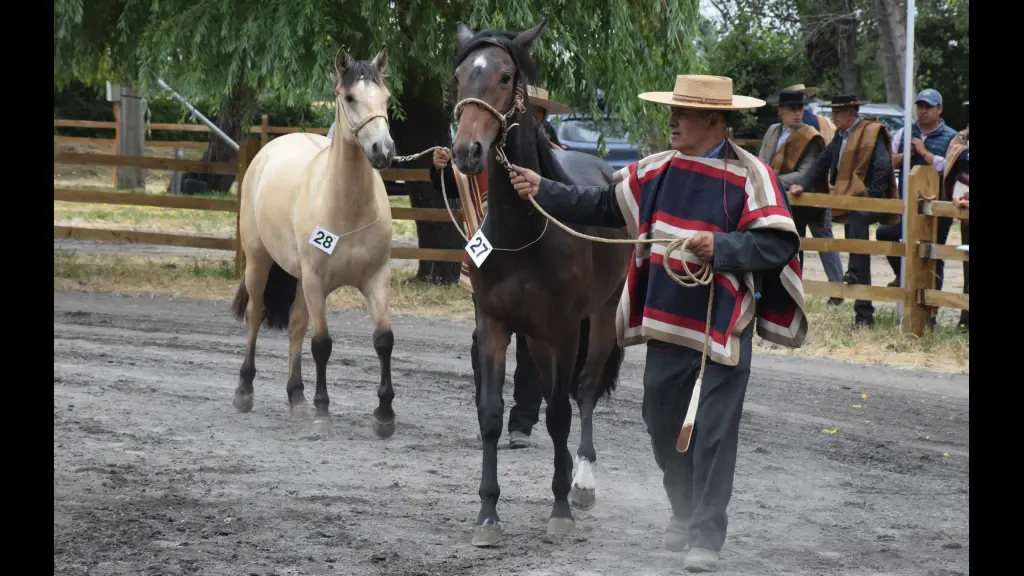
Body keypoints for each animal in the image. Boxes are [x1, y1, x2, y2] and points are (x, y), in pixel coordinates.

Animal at [229, 46, 398, 440]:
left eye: (386, 98)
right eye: (349, 98)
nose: (383, 150)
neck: (347, 208)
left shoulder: (376, 278)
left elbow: (383, 339)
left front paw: (384, 415)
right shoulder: (317, 281)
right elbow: (322, 344)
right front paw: (323, 412)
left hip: (300, 281)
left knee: (295, 326)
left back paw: (297, 398)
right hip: (261, 264)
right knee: (256, 314)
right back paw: (245, 390)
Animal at [450, 18, 632, 545]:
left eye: (506, 76)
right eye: (460, 76)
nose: (466, 151)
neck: (525, 231)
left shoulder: (566, 330)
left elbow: (561, 414)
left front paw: (561, 510)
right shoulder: (495, 325)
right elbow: (491, 414)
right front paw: (487, 514)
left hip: (599, 319)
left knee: (584, 391)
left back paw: (582, 481)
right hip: (535, 337)